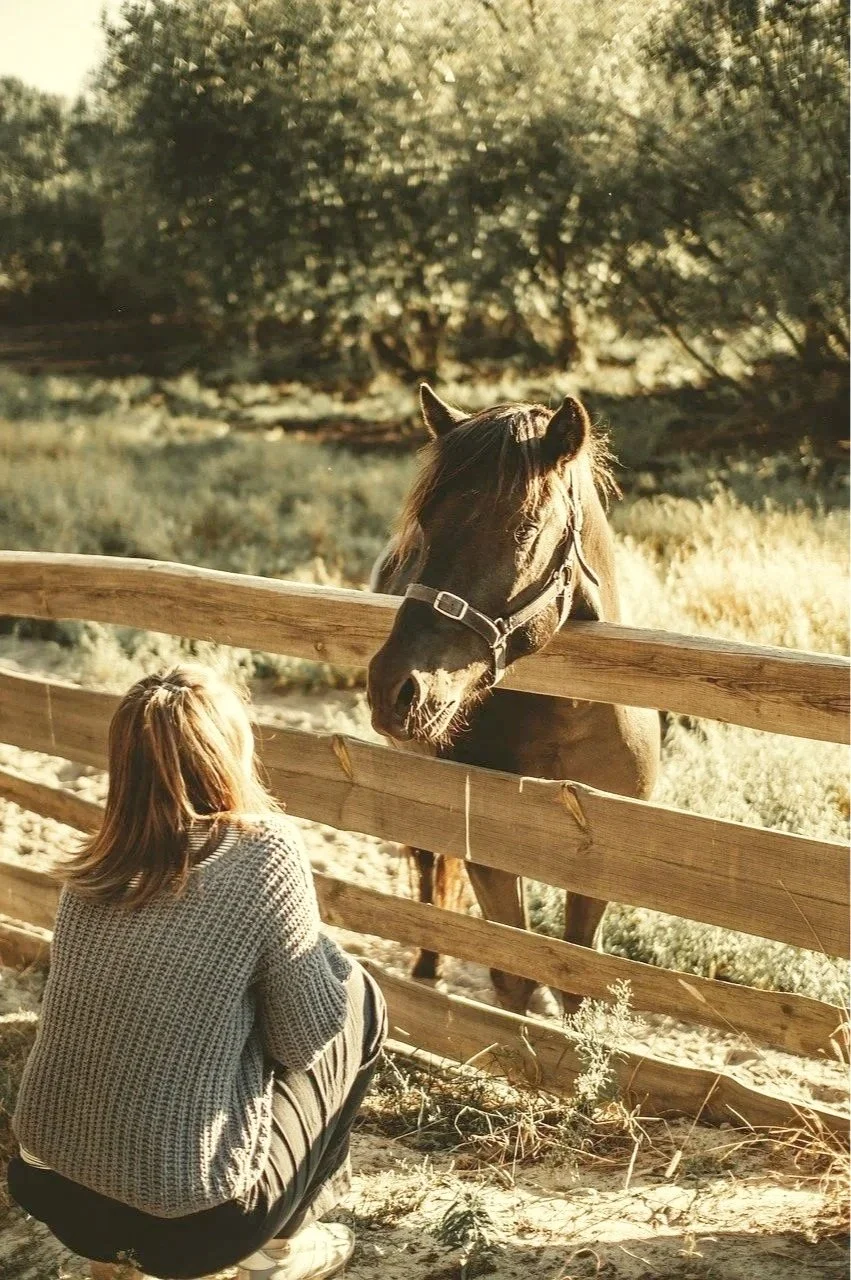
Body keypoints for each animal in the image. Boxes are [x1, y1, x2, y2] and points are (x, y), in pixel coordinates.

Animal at [367, 384, 661, 1014]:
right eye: (424, 522)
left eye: (525, 528)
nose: (394, 688)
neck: (570, 717)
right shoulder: (493, 858)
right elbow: (514, 977)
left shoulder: (601, 860)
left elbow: (575, 982)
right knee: (425, 863)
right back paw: (427, 962)